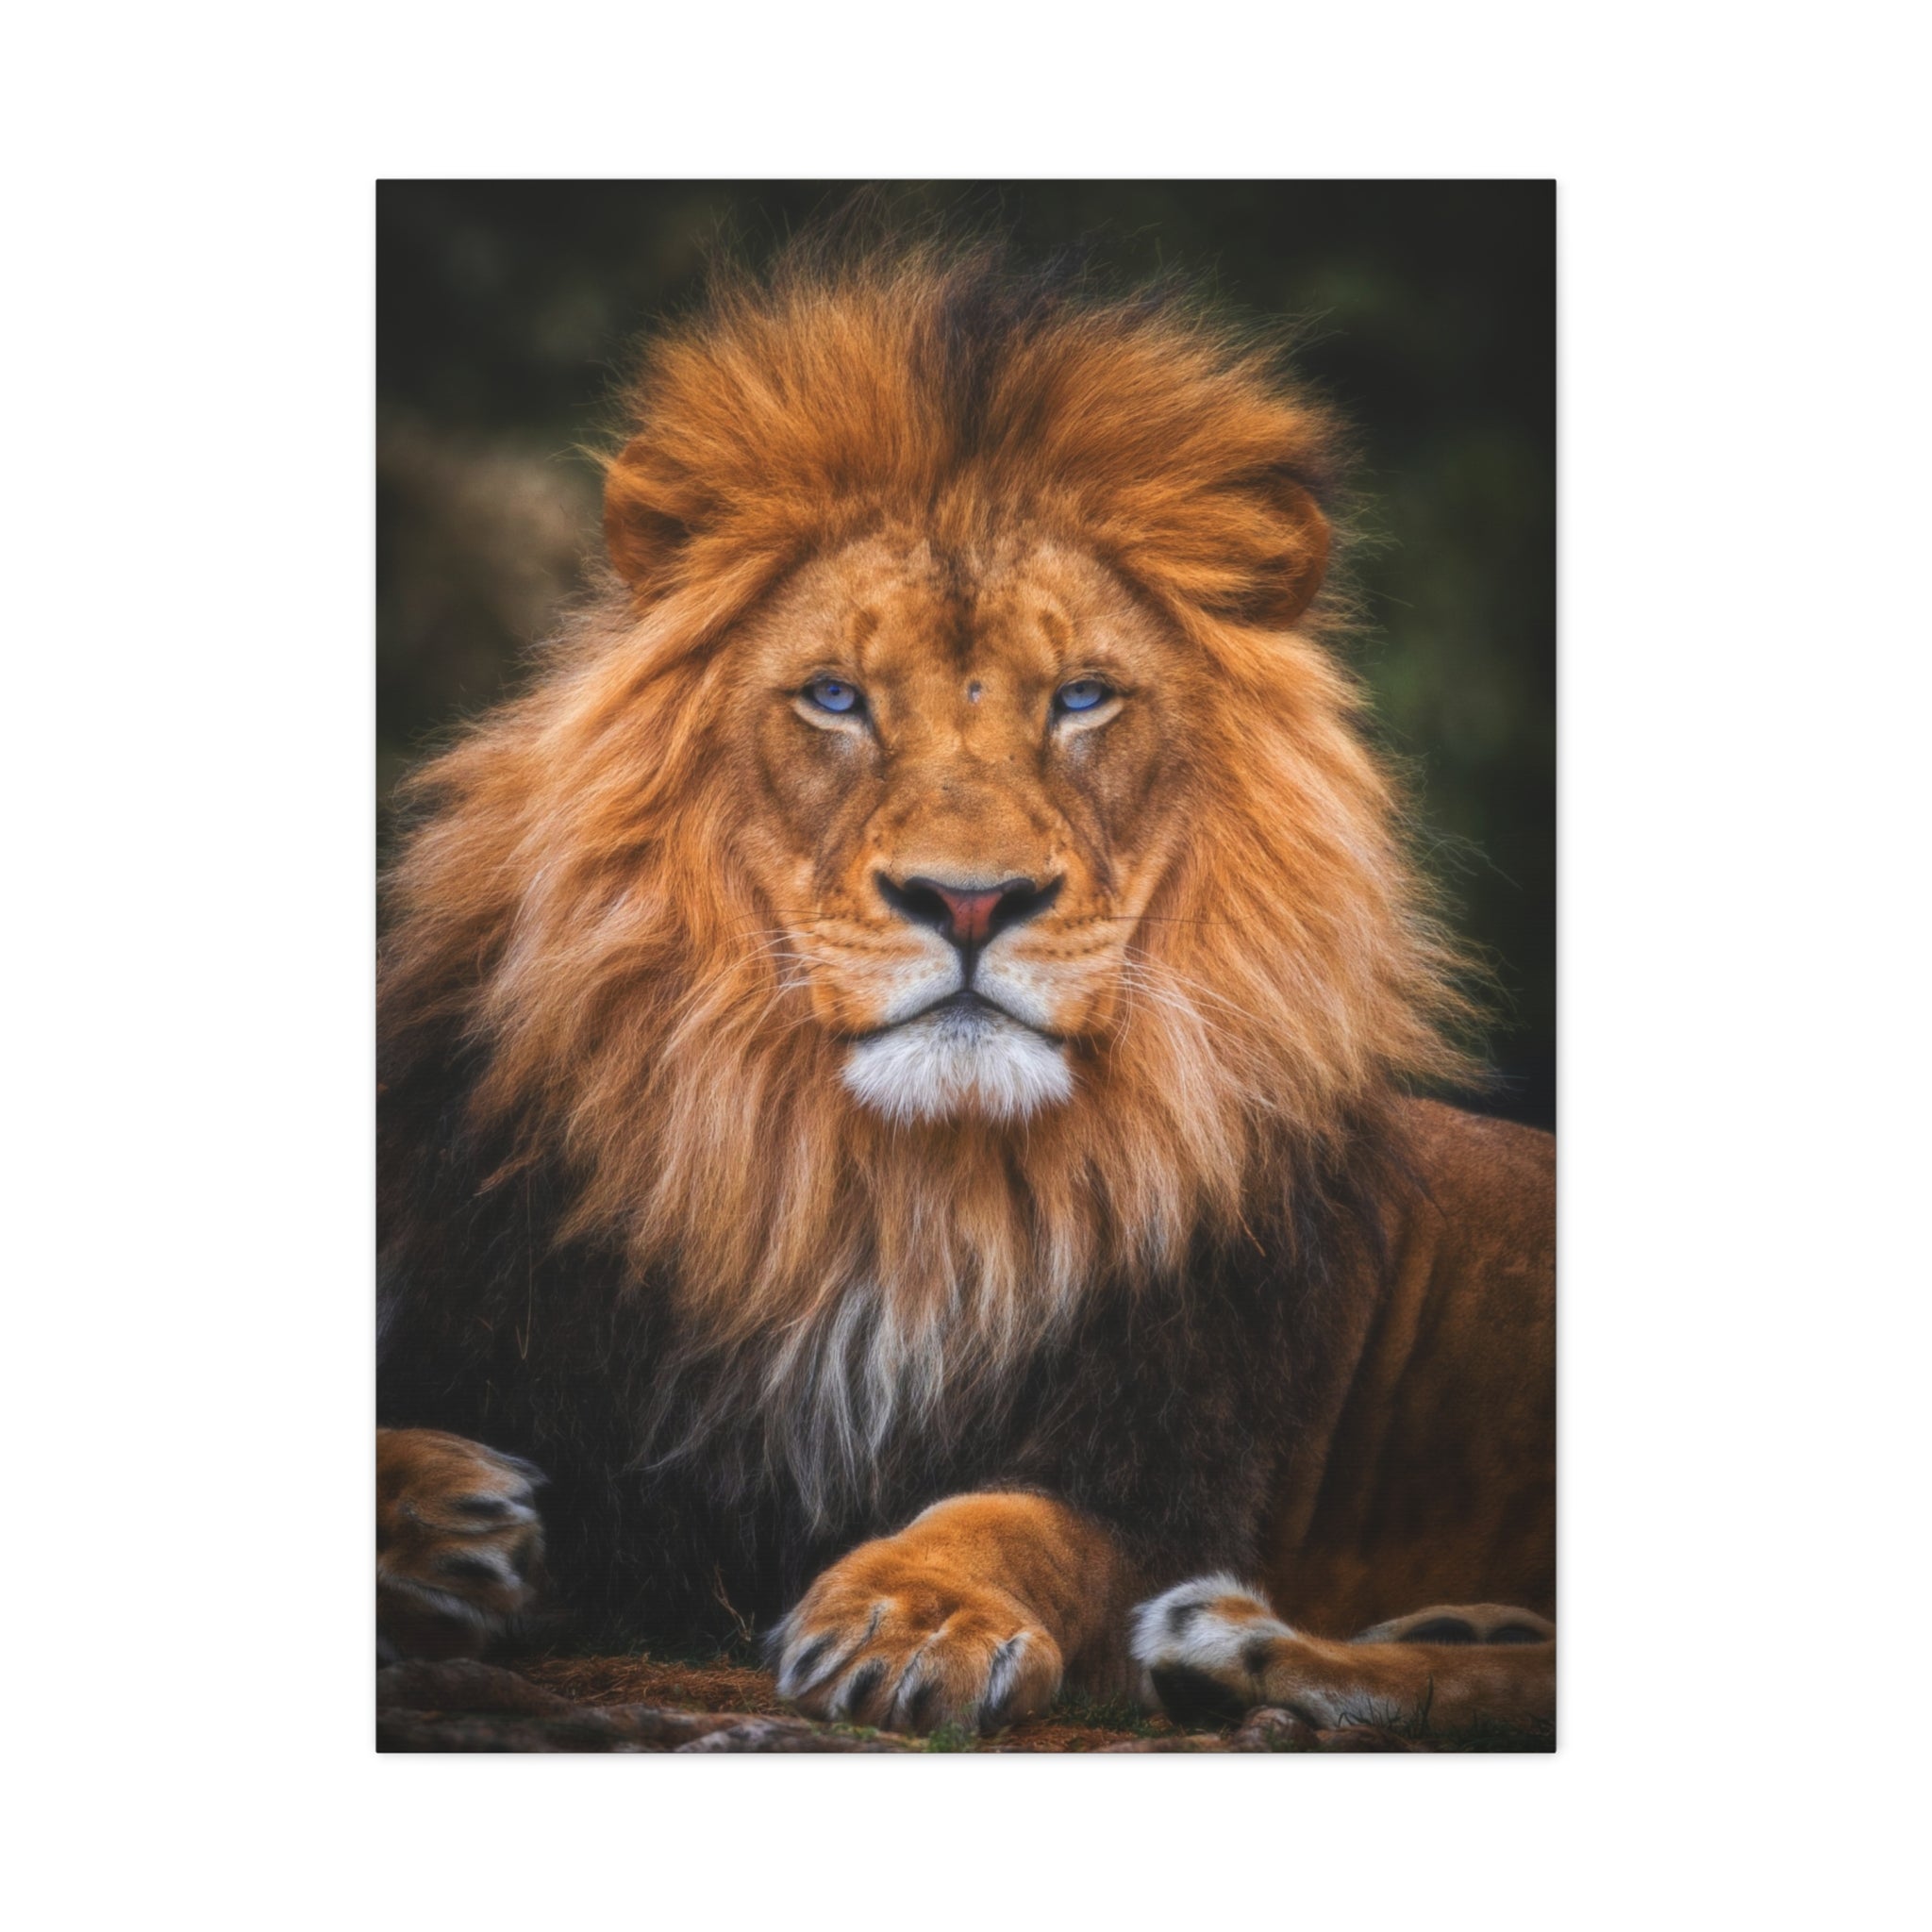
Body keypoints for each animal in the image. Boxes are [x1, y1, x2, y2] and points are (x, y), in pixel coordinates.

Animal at [376, 236, 1556, 1741]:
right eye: (834, 697)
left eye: (1082, 698)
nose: (972, 900)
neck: (889, 1196)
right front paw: (443, 1519)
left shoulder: (1167, 1462)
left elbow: (1017, 1520)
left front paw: (911, 1613)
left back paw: (1241, 1645)